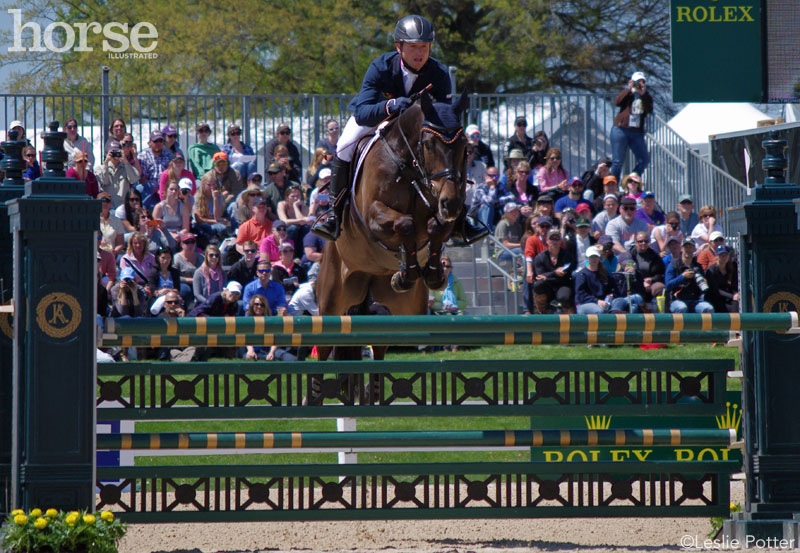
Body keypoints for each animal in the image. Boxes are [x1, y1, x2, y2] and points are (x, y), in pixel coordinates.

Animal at [314, 90, 468, 366]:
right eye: (428, 144)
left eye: (464, 145)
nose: (451, 203)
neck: (410, 166)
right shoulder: (373, 216)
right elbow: (405, 223)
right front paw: (408, 268)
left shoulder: (443, 217)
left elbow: (435, 227)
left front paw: (431, 273)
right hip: (331, 300)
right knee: (323, 346)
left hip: (403, 309)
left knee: (380, 345)